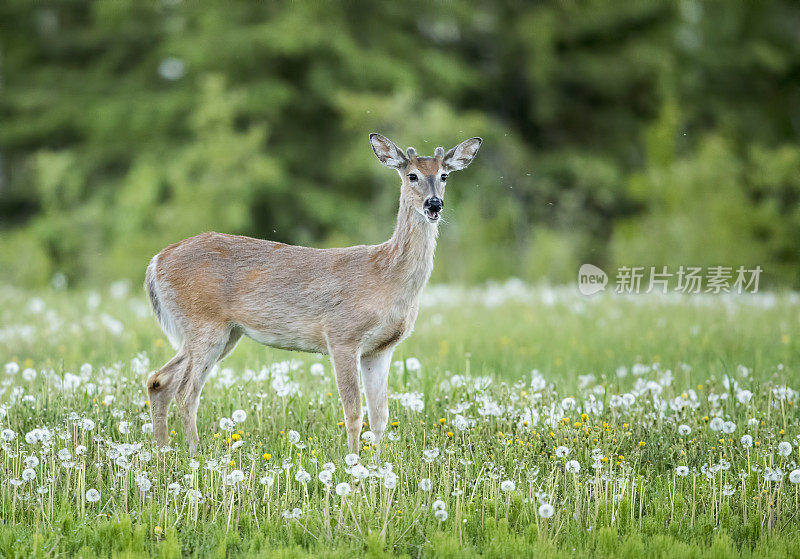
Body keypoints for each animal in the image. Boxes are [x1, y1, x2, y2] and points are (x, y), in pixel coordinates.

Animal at [144, 133, 482, 452]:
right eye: (412, 175)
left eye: (444, 175)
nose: (434, 204)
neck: (386, 276)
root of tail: (156, 261)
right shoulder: (342, 335)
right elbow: (354, 412)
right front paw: (353, 463)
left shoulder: (380, 348)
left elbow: (380, 416)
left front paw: (378, 464)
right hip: (204, 323)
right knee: (186, 391)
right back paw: (193, 453)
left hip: (225, 333)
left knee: (159, 380)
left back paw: (163, 452)